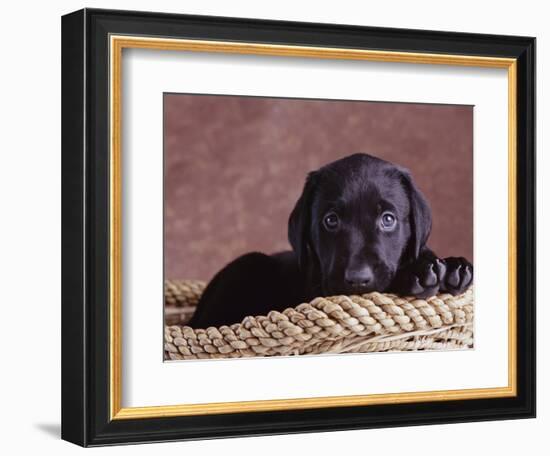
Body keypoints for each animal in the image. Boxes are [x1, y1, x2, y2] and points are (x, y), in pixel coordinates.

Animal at [190, 153, 474, 328]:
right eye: (331, 220)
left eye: (388, 219)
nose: (358, 279)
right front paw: (420, 273)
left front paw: (451, 268)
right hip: (248, 264)